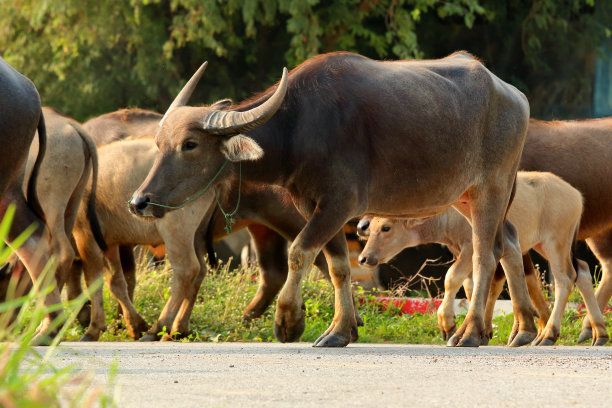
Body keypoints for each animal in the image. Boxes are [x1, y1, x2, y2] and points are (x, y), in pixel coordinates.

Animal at [130, 49, 536, 346]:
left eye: (190, 144)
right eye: (158, 143)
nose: (139, 202)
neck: (299, 125)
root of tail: (514, 95)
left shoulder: (338, 205)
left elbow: (299, 253)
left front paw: (289, 321)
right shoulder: (315, 206)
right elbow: (339, 266)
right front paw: (341, 330)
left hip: (492, 189)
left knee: (484, 254)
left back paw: (471, 333)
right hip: (466, 197)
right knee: (508, 244)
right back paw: (523, 330)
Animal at [358, 171, 608, 346]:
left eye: (386, 227)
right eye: (374, 227)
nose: (364, 257)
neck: (448, 216)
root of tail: (575, 195)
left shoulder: (470, 249)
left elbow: (452, 278)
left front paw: (449, 325)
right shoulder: (461, 252)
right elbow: (471, 287)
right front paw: (480, 331)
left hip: (556, 243)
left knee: (565, 279)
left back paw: (548, 334)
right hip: (550, 246)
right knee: (582, 271)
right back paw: (598, 332)